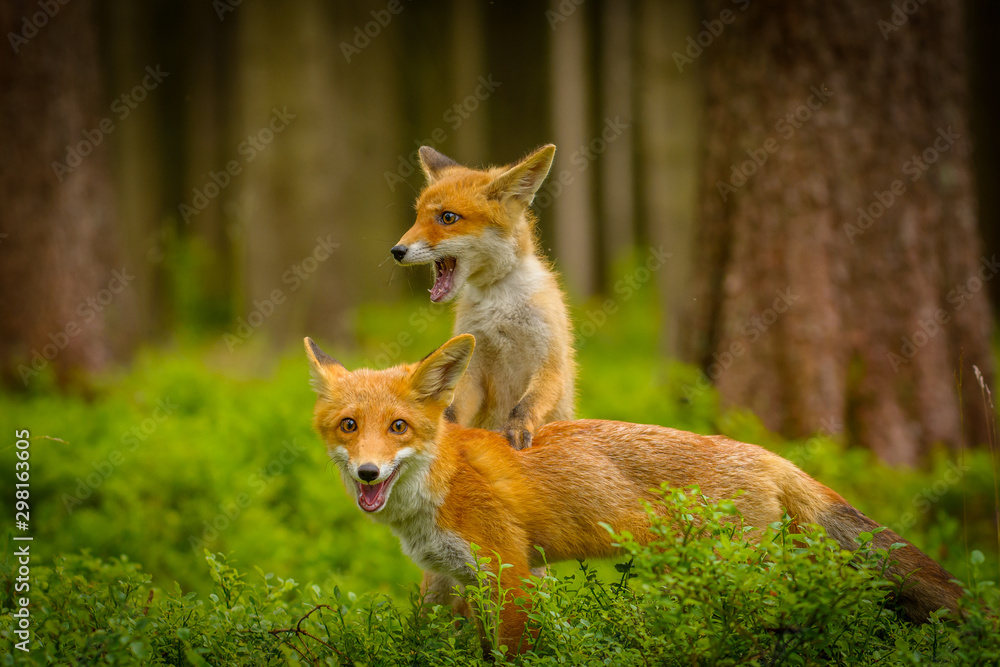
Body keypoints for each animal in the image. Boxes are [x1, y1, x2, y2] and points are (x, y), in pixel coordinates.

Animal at [304, 334, 964, 654]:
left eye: (398, 428)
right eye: (349, 427)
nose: (368, 474)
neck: (441, 483)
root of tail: (769, 454)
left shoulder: (509, 572)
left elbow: (509, 654)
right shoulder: (461, 578)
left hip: (742, 584)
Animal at [389, 144, 575, 451]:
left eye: (447, 217)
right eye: (417, 217)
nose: (396, 251)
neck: (499, 301)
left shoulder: (549, 362)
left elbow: (525, 406)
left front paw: (515, 430)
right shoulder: (473, 368)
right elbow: (453, 410)